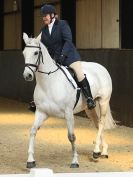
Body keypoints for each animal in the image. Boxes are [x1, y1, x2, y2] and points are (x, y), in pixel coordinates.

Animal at [22, 32, 115, 169]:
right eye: (24, 53)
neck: (49, 83)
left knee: (102, 123)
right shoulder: (41, 112)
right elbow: (33, 131)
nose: (27, 75)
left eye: (35, 53)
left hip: (103, 101)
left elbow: (71, 137)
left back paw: (96, 151)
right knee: (97, 124)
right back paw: (103, 151)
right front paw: (30, 160)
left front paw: (75, 161)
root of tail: (101, 67)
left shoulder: (68, 113)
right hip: (89, 108)